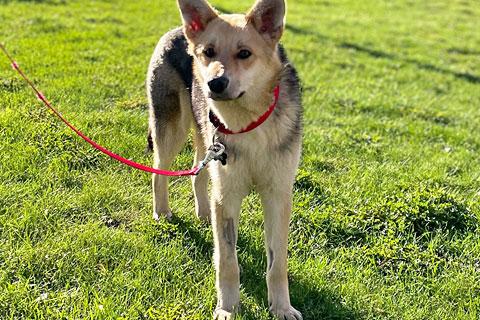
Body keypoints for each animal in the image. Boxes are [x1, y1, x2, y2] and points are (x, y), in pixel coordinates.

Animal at [146, 0, 302, 318]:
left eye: (244, 54)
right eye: (209, 52)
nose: (215, 84)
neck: (249, 124)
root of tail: (177, 30)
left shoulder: (278, 195)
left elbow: (277, 262)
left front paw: (281, 307)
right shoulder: (227, 197)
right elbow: (228, 261)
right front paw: (228, 309)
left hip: (206, 143)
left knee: (198, 173)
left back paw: (204, 214)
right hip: (172, 131)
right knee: (158, 172)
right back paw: (163, 212)